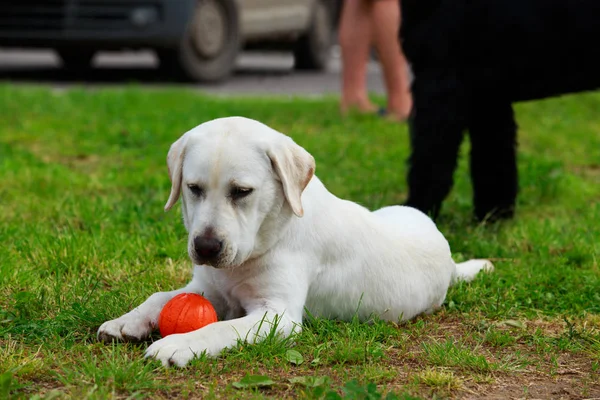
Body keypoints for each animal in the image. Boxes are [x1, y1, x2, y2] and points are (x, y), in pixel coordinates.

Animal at [98, 115, 492, 366]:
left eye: (241, 192)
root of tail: (448, 259)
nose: (207, 248)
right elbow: (160, 297)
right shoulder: (206, 286)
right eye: (193, 189)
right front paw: (127, 321)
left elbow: (220, 327)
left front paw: (179, 344)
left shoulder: (277, 315)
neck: (267, 239)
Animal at [398, 0, 600, 220]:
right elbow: (493, 159)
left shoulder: (441, 83)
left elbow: (430, 160)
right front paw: (492, 216)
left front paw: (415, 211)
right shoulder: (488, 97)